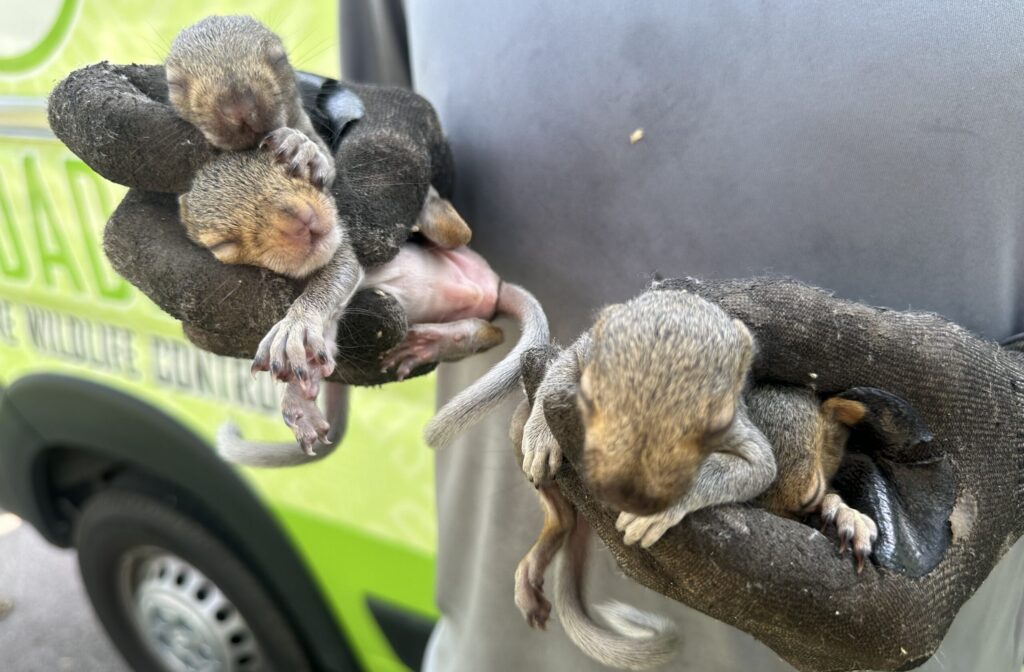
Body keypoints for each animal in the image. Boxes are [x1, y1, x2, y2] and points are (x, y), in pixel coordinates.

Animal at [179, 144, 549, 464]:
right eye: (222, 244)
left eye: (291, 168)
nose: (301, 218)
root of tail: (493, 287)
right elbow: (324, 341)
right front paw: (299, 399)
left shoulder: (345, 247)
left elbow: (333, 279)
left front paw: (294, 326)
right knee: (491, 333)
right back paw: (435, 341)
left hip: (455, 245)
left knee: (458, 235)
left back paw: (430, 211)